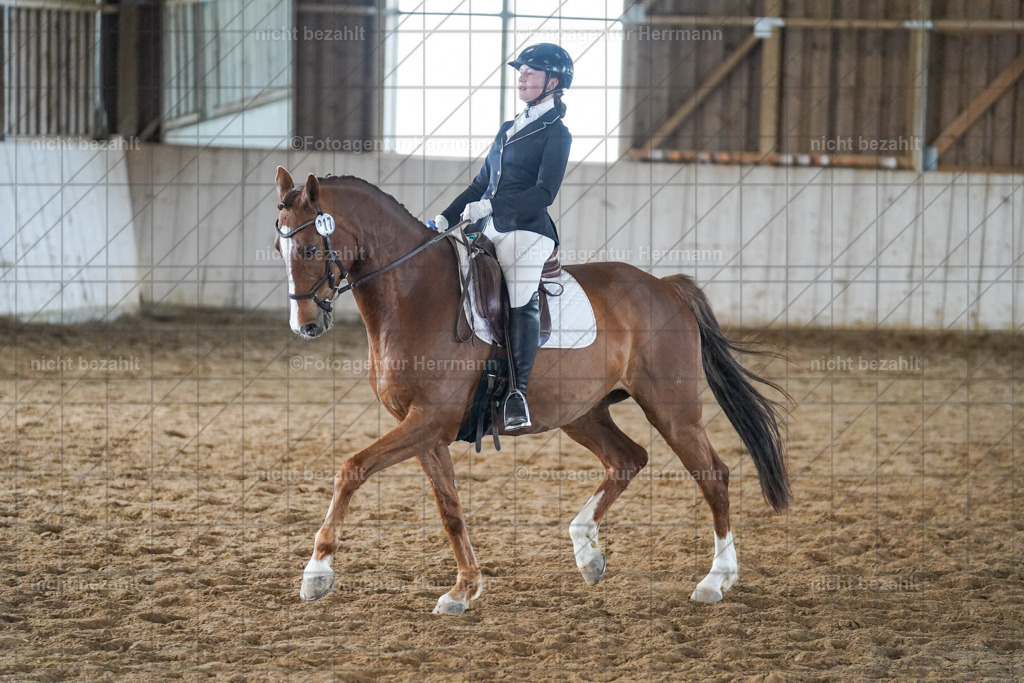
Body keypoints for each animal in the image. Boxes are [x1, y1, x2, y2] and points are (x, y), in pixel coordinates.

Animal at [272, 167, 791, 614]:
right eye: (279, 249)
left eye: (312, 249)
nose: (306, 325)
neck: (416, 295)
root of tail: (665, 287)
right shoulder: (424, 429)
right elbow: (449, 509)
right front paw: (464, 589)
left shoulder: (430, 419)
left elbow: (351, 469)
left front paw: (317, 573)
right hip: (582, 412)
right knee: (628, 458)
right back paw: (588, 553)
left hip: (673, 410)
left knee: (713, 475)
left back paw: (715, 580)